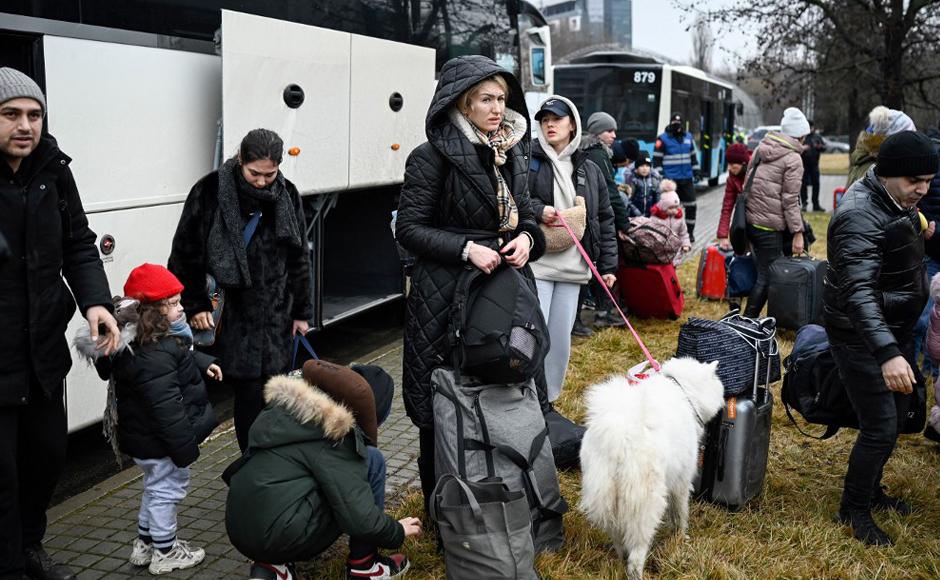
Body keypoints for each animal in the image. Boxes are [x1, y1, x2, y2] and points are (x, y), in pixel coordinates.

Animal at [580, 358, 728, 580]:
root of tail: (619, 437)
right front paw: (681, 537)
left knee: (619, 539)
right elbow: (679, 513)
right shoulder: (681, 482)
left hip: (607, 497)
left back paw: (620, 559)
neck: (683, 390)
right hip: (645, 503)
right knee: (636, 551)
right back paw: (636, 573)